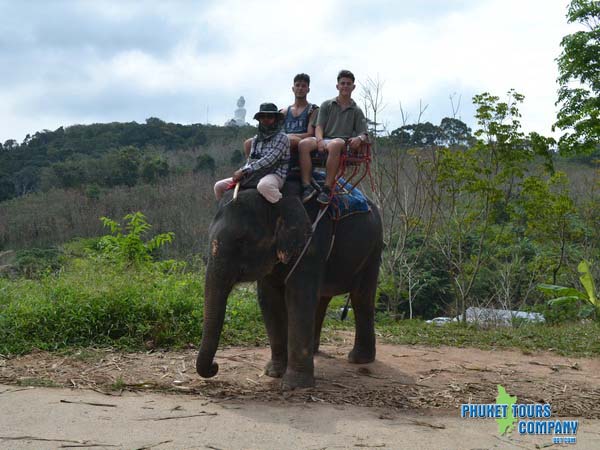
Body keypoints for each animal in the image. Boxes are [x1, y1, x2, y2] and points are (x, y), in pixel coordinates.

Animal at [197, 177, 384, 390]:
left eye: (242, 241)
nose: (215, 366)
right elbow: (269, 299)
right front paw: (274, 373)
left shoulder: (312, 243)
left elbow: (298, 297)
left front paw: (295, 385)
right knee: (322, 299)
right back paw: (315, 351)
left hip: (373, 249)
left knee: (361, 297)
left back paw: (358, 359)